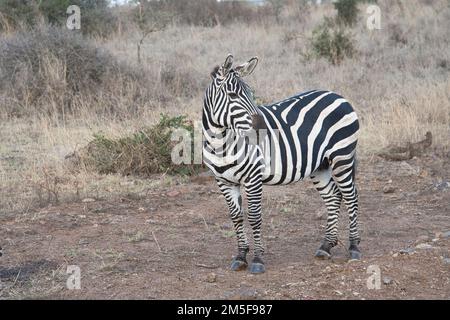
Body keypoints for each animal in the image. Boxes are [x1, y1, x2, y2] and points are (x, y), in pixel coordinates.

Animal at [202, 54, 360, 272]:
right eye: (232, 95)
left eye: (251, 94)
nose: (262, 127)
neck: (221, 144)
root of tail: (337, 95)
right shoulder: (223, 181)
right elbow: (236, 217)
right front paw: (241, 256)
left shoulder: (253, 177)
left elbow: (254, 217)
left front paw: (258, 259)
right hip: (320, 166)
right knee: (334, 196)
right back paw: (326, 246)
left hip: (342, 157)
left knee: (351, 196)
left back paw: (354, 247)